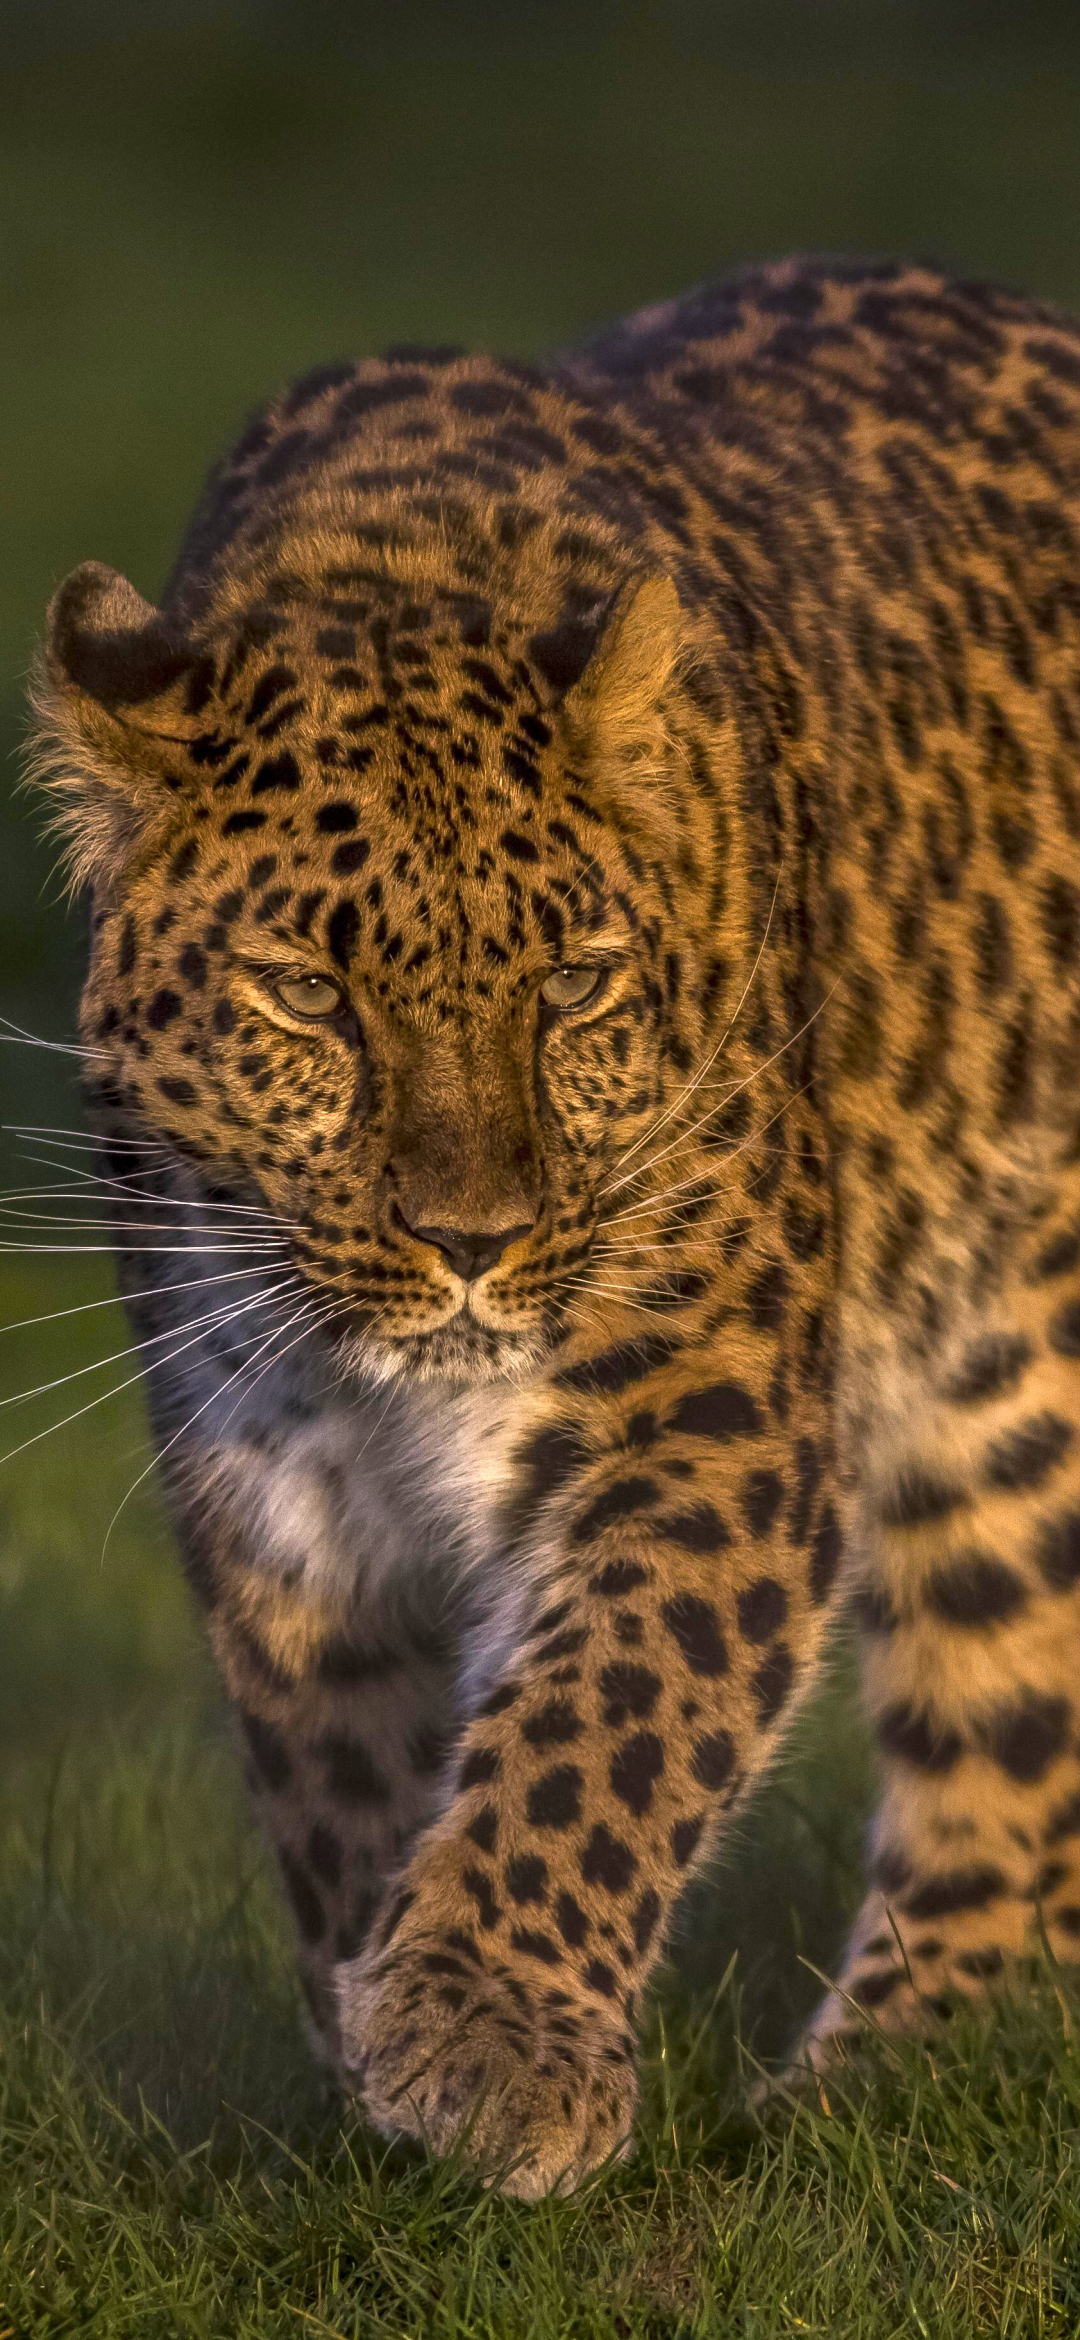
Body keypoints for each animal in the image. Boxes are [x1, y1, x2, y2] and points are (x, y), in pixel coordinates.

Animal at [27, 256, 1080, 2190]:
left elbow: (607, 1715)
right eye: (309, 998)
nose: (473, 1242)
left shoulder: (704, 1410)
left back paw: (873, 2086)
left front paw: (486, 2036)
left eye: (575, 985)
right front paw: (376, 2045)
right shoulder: (270, 1479)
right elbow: (339, 1781)